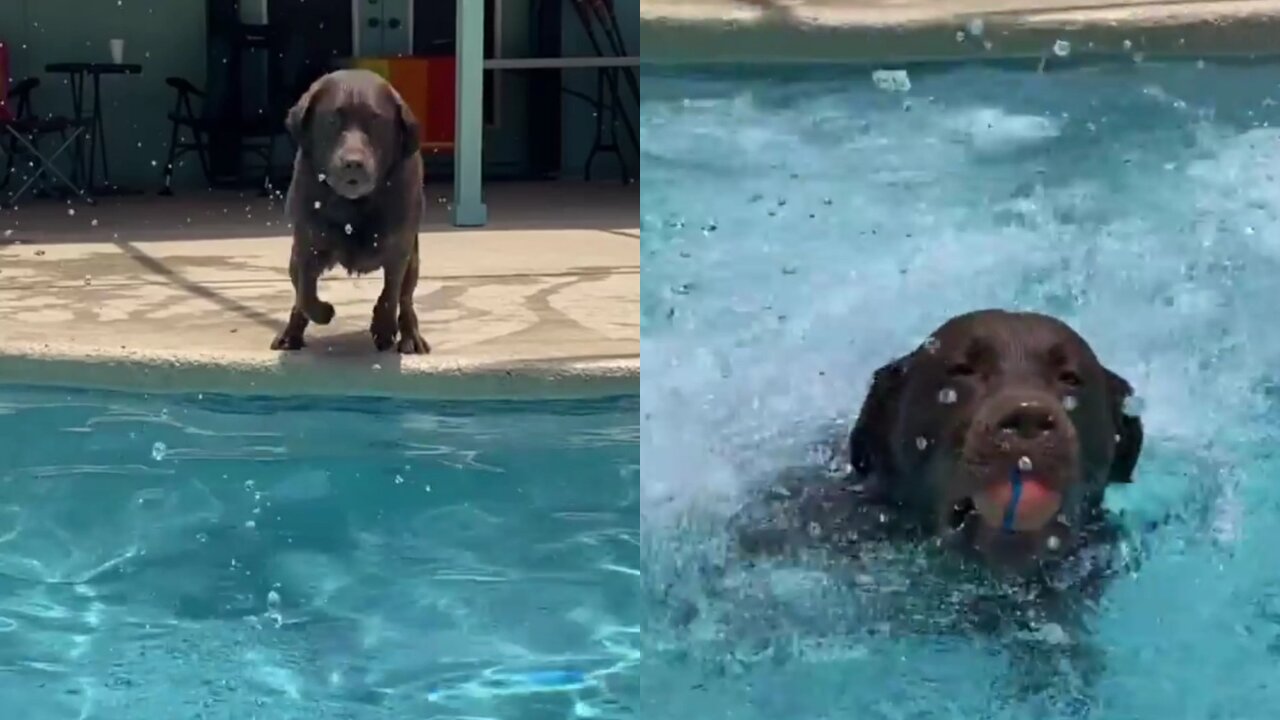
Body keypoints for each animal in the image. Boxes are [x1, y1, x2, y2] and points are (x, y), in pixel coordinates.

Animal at [270, 67, 430, 353]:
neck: (353, 205)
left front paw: (384, 327)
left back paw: (410, 336)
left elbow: (391, 293)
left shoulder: (398, 248)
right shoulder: (307, 245)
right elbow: (306, 293)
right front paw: (324, 312)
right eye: (333, 120)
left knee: (405, 298)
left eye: (376, 121)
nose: (353, 163)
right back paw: (291, 335)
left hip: (413, 259)